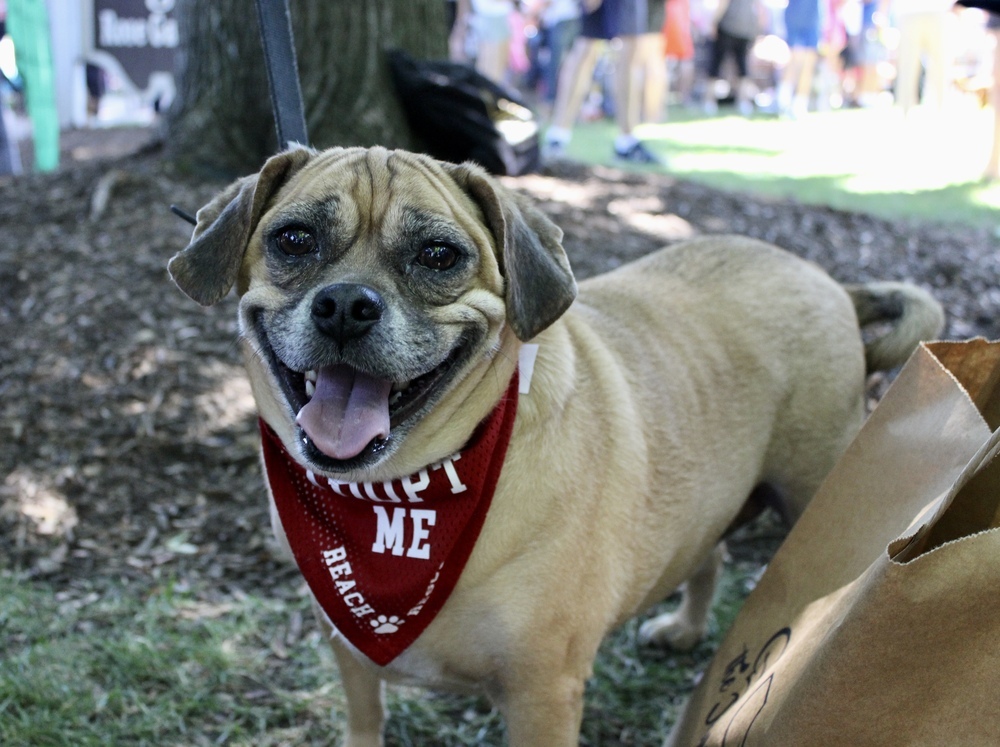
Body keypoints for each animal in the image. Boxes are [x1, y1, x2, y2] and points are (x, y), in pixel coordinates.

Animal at [170, 143, 944, 744]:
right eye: (293, 240)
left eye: (439, 255)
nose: (344, 305)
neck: (405, 498)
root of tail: (834, 284)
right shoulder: (350, 653)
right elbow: (367, 723)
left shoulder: (542, 694)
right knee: (711, 552)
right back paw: (685, 627)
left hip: (811, 493)